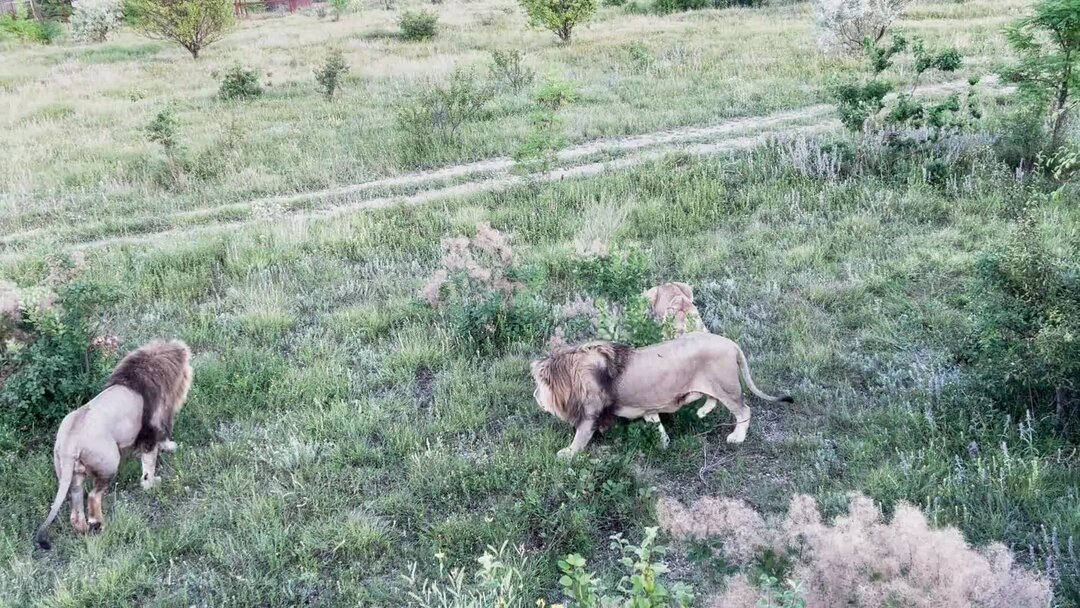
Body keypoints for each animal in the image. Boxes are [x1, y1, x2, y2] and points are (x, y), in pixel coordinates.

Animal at [33, 341, 193, 548]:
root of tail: (69, 442)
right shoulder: (152, 427)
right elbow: (150, 461)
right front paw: (151, 483)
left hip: (72, 474)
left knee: (76, 506)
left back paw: (83, 530)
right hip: (108, 464)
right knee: (93, 495)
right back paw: (99, 524)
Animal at [531, 332, 794, 457]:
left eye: (539, 387)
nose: (534, 396)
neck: (572, 370)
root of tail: (731, 343)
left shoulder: (590, 412)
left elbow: (580, 436)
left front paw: (567, 454)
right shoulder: (647, 408)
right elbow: (656, 424)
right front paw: (665, 444)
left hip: (725, 385)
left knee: (743, 409)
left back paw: (737, 437)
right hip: (716, 384)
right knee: (713, 399)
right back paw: (701, 411)